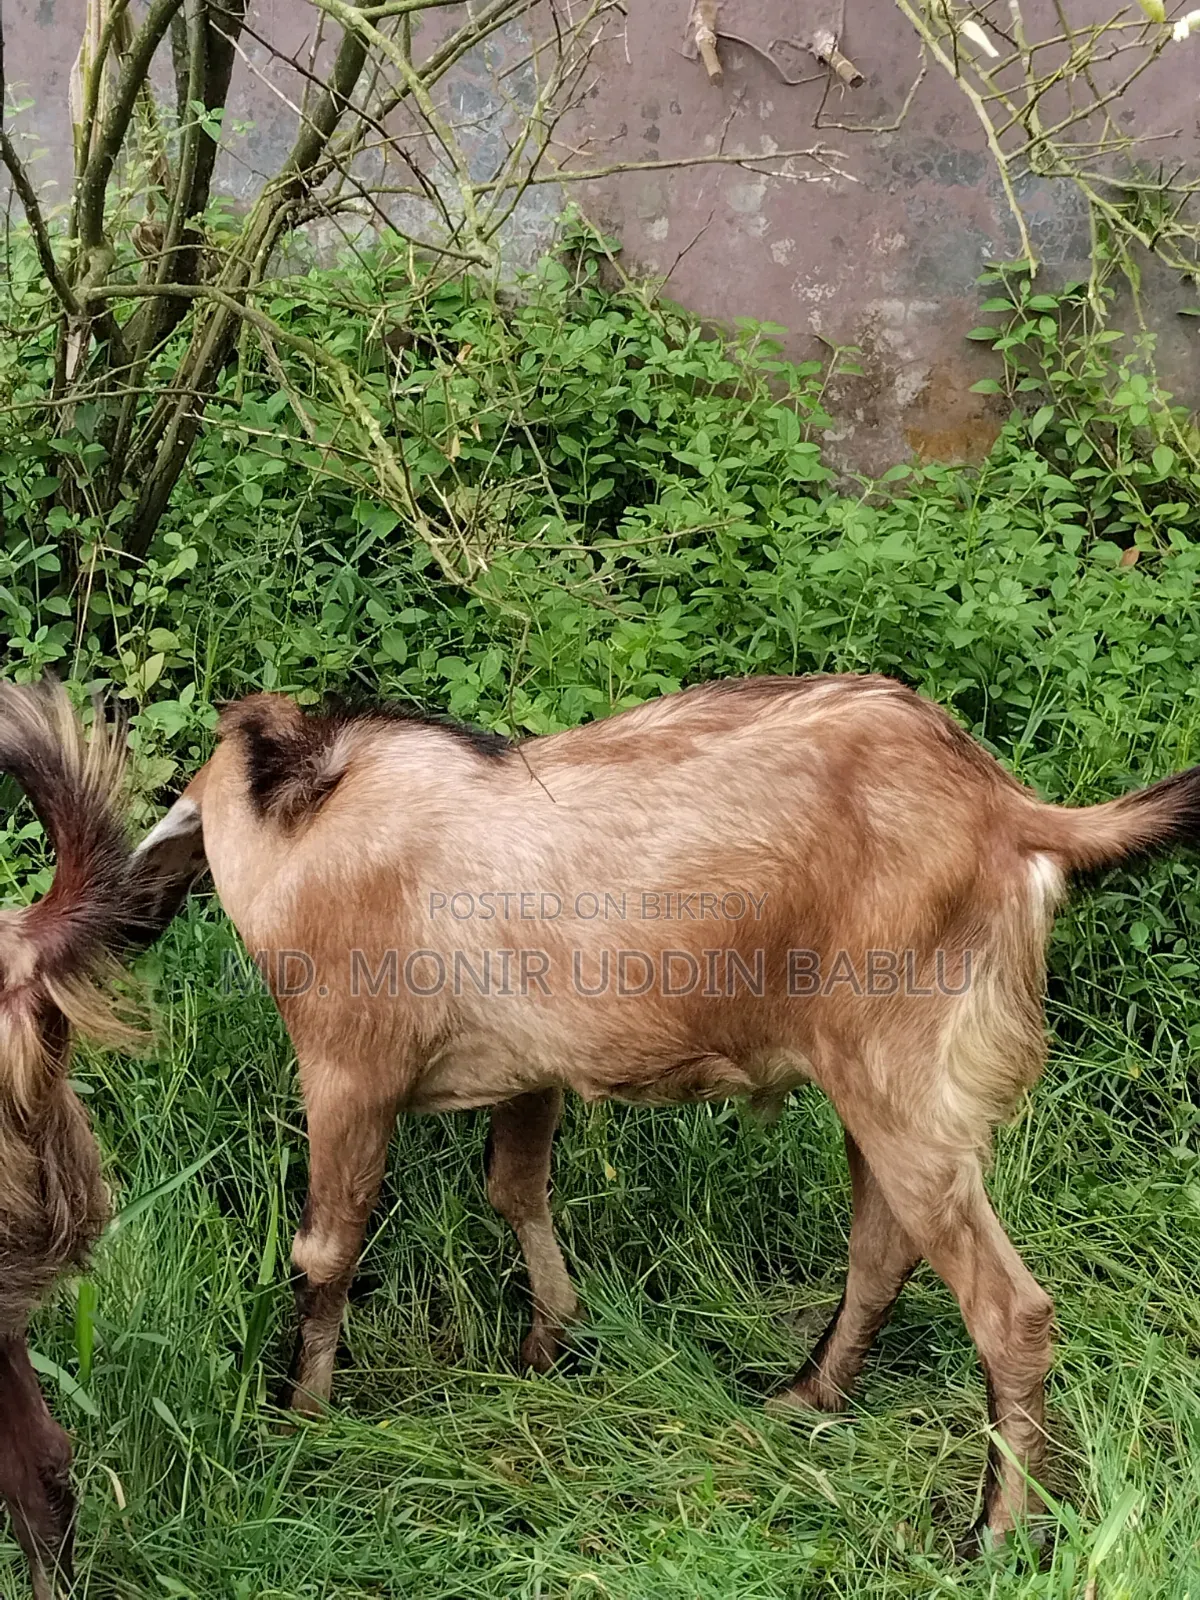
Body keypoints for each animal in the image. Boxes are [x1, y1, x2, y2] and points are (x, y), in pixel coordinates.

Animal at [133, 672, 1200, 1550]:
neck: (318, 830)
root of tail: (1011, 812)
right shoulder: (531, 1072)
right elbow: (514, 1188)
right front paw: (548, 1344)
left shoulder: (348, 1069)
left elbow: (328, 1247)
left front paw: (301, 1415)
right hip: (877, 1088)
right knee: (882, 1246)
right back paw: (804, 1396)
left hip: (904, 1075)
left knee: (1008, 1308)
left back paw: (997, 1529)